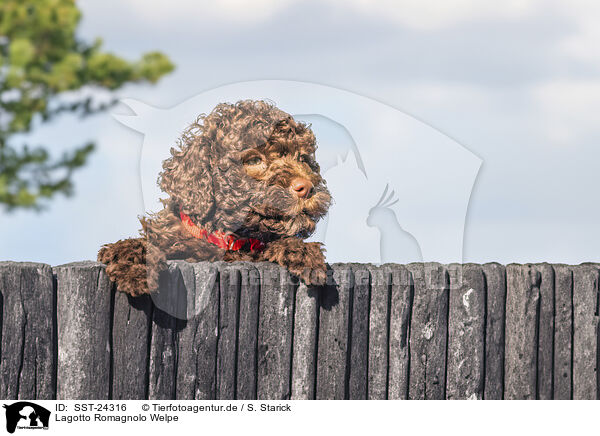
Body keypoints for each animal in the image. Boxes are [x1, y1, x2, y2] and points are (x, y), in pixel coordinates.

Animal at [98, 99, 332, 296]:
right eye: (254, 160)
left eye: (302, 159)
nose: (306, 188)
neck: (230, 241)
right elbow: (140, 244)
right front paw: (134, 269)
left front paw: (303, 252)